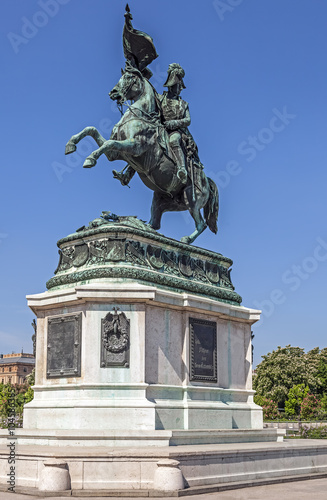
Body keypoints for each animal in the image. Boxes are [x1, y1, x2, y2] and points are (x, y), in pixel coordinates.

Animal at [65, 64, 219, 244]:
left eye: (130, 77)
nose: (113, 93)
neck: (139, 116)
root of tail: (207, 181)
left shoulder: (135, 146)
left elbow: (109, 143)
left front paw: (89, 159)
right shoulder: (115, 154)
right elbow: (92, 130)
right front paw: (71, 144)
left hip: (191, 199)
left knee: (201, 224)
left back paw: (186, 239)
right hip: (161, 200)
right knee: (154, 224)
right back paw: (131, 222)